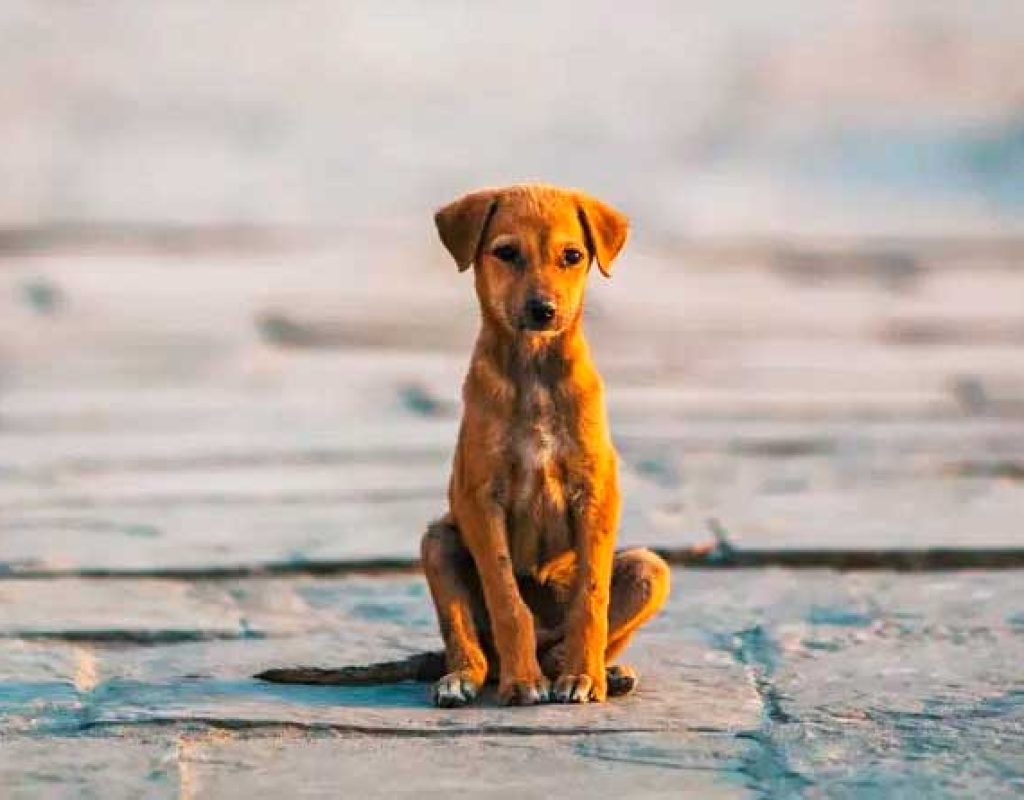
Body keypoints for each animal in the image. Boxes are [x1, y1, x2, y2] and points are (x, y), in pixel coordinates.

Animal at [419, 182, 667, 704]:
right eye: (506, 253)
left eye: (572, 256)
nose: (543, 311)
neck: (534, 370)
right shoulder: (479, 498)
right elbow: (507, 599)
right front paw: (523, 682)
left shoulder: (596, 494)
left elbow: (591, 599)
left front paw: (584, 677)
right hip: (438, 542)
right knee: (473, 643)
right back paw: (466, 677)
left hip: (651, 568)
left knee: (569, 635)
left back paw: (597, 671)